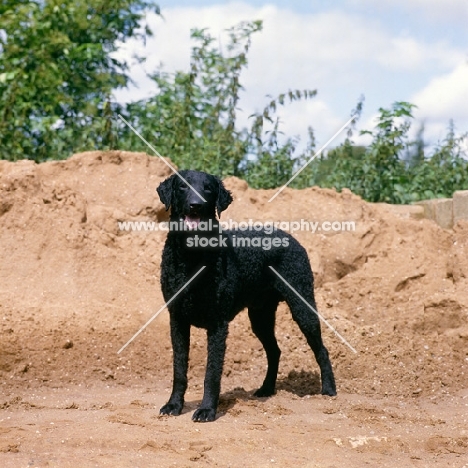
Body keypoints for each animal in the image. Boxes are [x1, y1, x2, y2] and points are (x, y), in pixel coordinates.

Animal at [157, 171, 336, 420]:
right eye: (182, 187)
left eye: (208, 188)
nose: (196, 205)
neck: (192, 257)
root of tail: (290, 236)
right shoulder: (177, 319)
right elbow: (179, 369)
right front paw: (174, 405)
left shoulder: (218, 324)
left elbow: (212, 372)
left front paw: (207, 410)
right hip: (260, 316)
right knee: (275, 351)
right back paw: (266, 389)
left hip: (302, 305)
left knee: (322, 350)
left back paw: (328, 390)